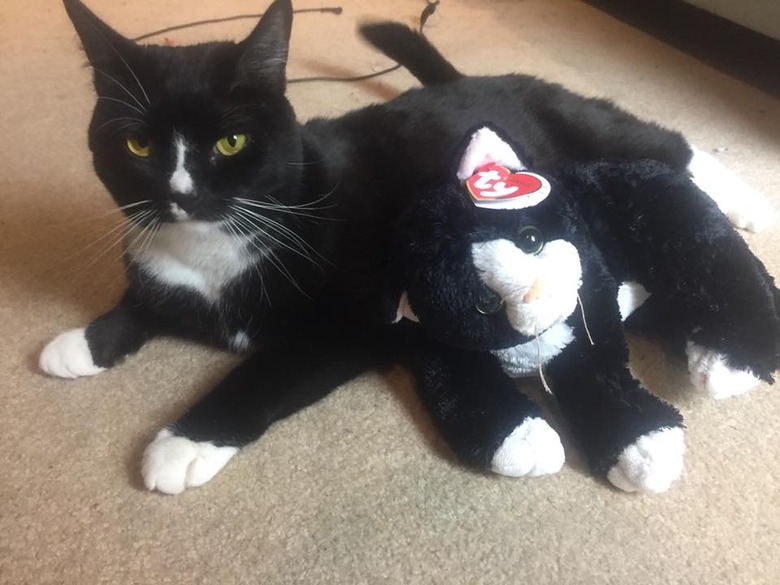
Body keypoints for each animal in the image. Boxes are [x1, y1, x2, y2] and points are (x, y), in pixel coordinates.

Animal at [42, 0, 772, 492]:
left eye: (231, 141)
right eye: (138, 144)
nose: (182, 193)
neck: (215, 244)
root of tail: (482, 79)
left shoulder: (351, 317)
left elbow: (263, 373)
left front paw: (180, 444)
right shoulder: (162, 261)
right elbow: (144, 299)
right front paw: (80, 342)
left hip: (592, 130)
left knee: (667, 147)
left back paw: (750, 223)